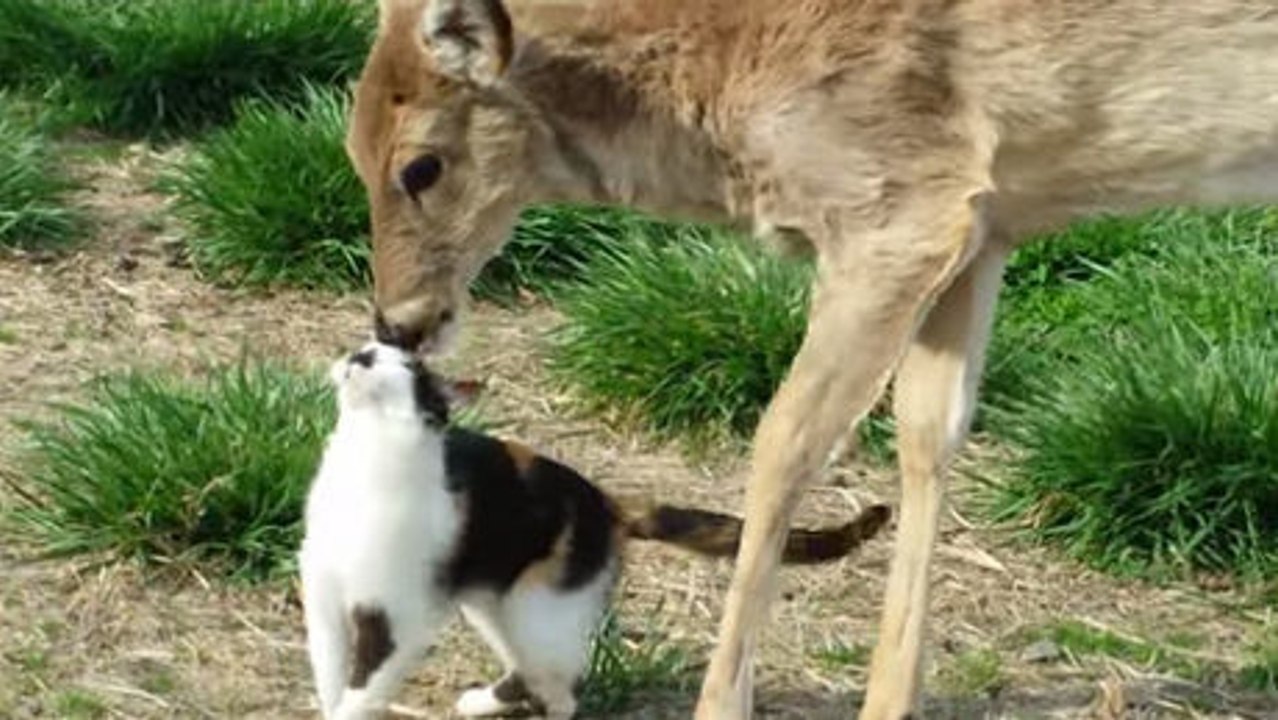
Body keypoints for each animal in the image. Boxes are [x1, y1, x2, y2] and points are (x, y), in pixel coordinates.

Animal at [299, 345, 889, 720]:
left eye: (406, 365)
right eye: (369, 345)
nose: (361, 355)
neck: (365, 460)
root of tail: (606, 500)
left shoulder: (398, 616)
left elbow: (361, 689)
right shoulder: (324, 596)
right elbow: (331, 674)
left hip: (537, 609)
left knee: (563, 689)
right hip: (498, 603)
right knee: (534, 672)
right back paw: (481, 702)